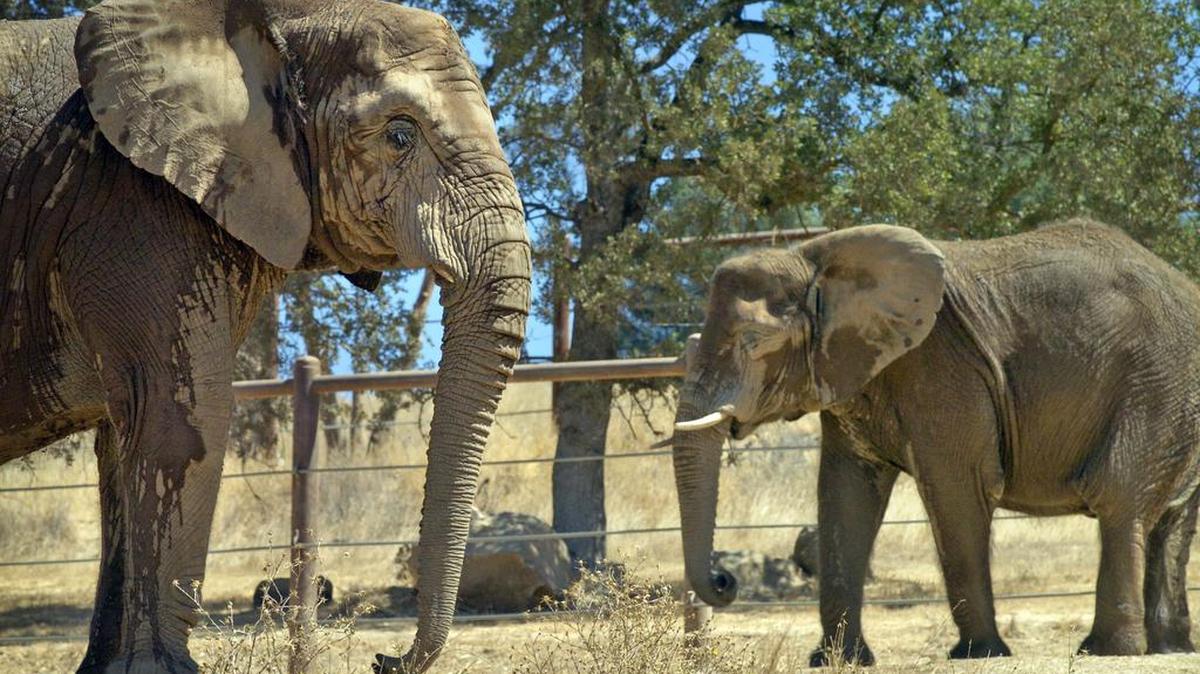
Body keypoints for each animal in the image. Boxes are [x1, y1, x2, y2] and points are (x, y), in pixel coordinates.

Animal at [0, 2, 530, 672]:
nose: (384, 658)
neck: (271, 22)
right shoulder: (130, 206)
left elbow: (126, 436)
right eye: (399, 135)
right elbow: (181, 416)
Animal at [669, 220, 1200, 665]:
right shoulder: (851, 371)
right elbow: (845, 494)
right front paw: (838, 660)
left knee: (1119, 499)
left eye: (754, 340)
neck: (813, 260)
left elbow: (956, 488)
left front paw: (979, 653)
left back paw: (1107, 650)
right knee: (1171, 521)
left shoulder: (943, 366)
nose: (725, 580)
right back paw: (1170, 648)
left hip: (1154, 386)